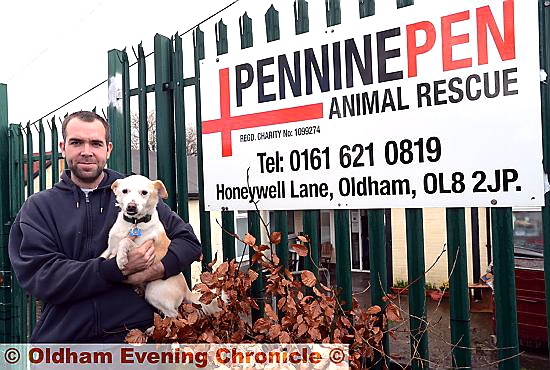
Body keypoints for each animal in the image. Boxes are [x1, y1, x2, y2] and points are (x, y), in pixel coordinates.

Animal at [101, 175, 220, 316]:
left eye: (144, 192)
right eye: (124, 191)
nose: (131, 206)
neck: (133, 223)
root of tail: (187, 290)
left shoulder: (143, 250)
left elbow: (125, 241)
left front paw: (121, 259)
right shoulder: (109, 248)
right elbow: (103, 255)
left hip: (154, 292)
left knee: (174, 315)